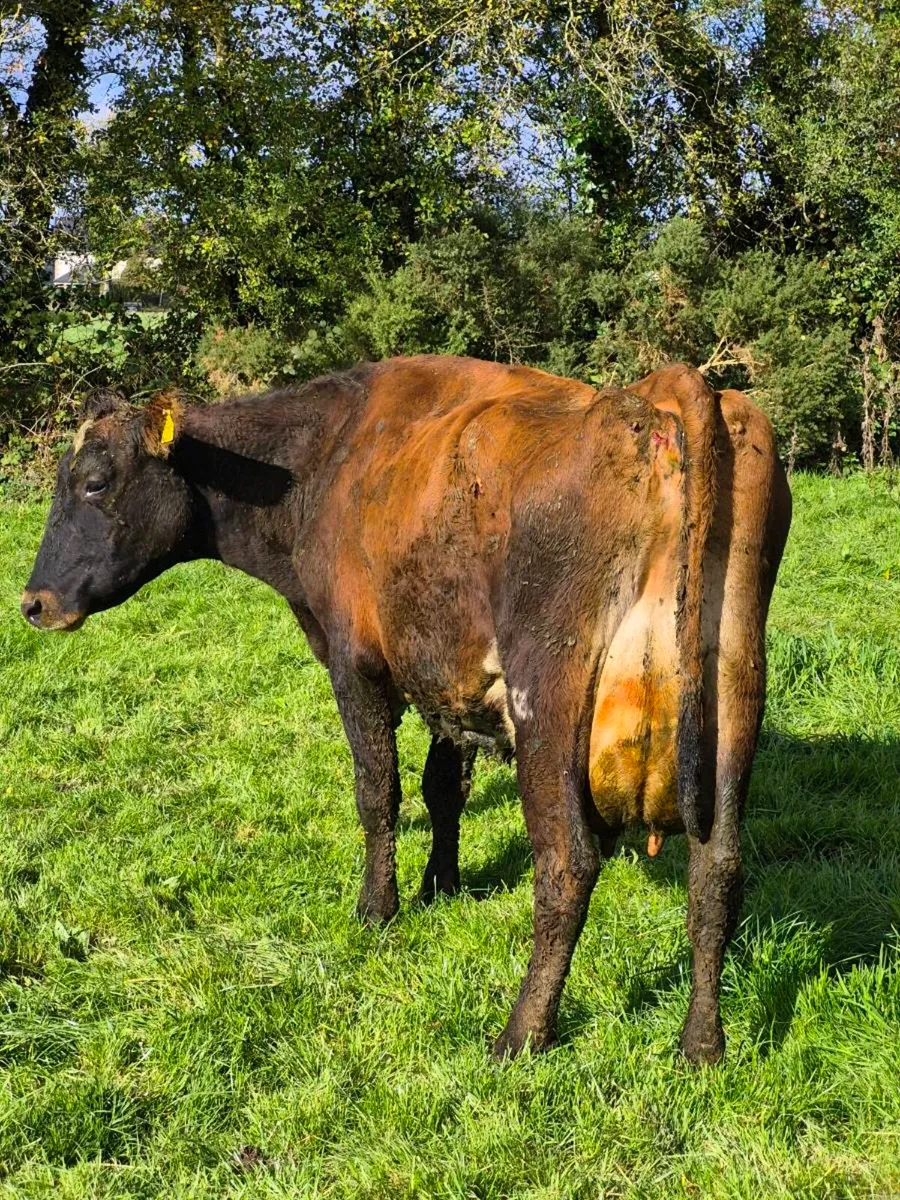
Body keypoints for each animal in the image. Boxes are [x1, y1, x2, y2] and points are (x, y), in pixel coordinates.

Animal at [21, 355, 791, 1063]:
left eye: (94, 482)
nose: (32, 604)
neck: (325, 460)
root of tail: (662, 393)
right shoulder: (446, 673)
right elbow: (442, 788)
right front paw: (440, 887)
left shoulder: (356, 663)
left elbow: (378, 792)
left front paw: (378, 907)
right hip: (731, 699)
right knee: (717, 871)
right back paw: (702, 1043)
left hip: (547, 695)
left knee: (569, 864)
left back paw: (522, 1033)